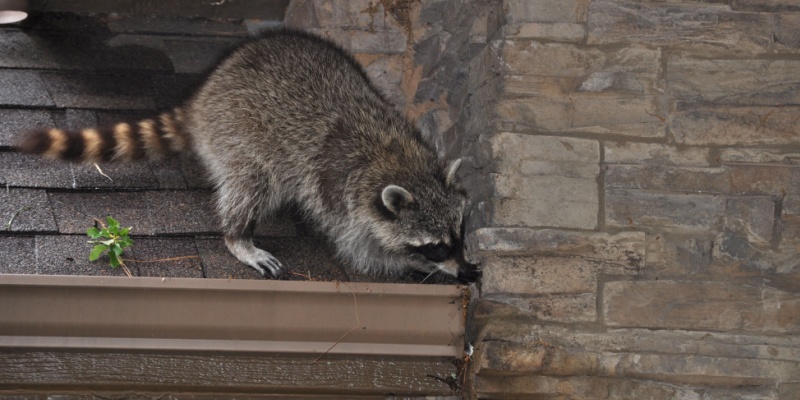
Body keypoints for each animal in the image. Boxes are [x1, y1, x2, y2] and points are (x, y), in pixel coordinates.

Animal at [17, 29, 480, 283]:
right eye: (434, 246)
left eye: (459, 234)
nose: (458, 266)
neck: (395, 156)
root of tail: (205, 96)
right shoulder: (340, 196)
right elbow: (361, 252)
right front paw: (414, 266)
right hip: (239, 133)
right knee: (252, 182)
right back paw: (239, 235)